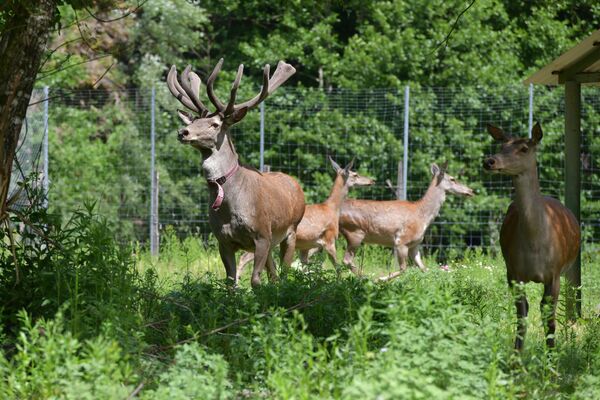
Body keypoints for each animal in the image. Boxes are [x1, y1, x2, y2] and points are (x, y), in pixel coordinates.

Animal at [166, 57, 304, 286]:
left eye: (214, 124)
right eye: (194, 121)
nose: (183, 132)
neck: (230, 207)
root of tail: (297, 185)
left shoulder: (262, 235)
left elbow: (255, 280)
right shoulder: (223, 240)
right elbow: (231, 281)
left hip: (291, 230)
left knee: (284, 273)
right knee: (274, 274)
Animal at [236, 156, 372, 276]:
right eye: (355, 174)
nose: (371, 181)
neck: (332, 209)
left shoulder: (307, 246)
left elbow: (306, 270)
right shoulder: (329, 240)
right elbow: (337, 268)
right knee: (243, 258)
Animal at [338, 162, 474, 278]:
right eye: (453, 179)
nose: (470, 190)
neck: (423, 217)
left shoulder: (415, 245)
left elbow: (423, 268)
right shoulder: (401, 241)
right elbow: (404, 268)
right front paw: (380, 279)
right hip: (355, 232)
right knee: (346, 260)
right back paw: (366, 278)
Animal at [482, 122, 580, 350]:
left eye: (524, 148)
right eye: (502, 146)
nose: (489, 161)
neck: (535, 246)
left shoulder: (554, 273)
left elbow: (549, 317)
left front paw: (551, 357)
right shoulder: (514, 273)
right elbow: (522, 314)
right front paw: (517, 355)